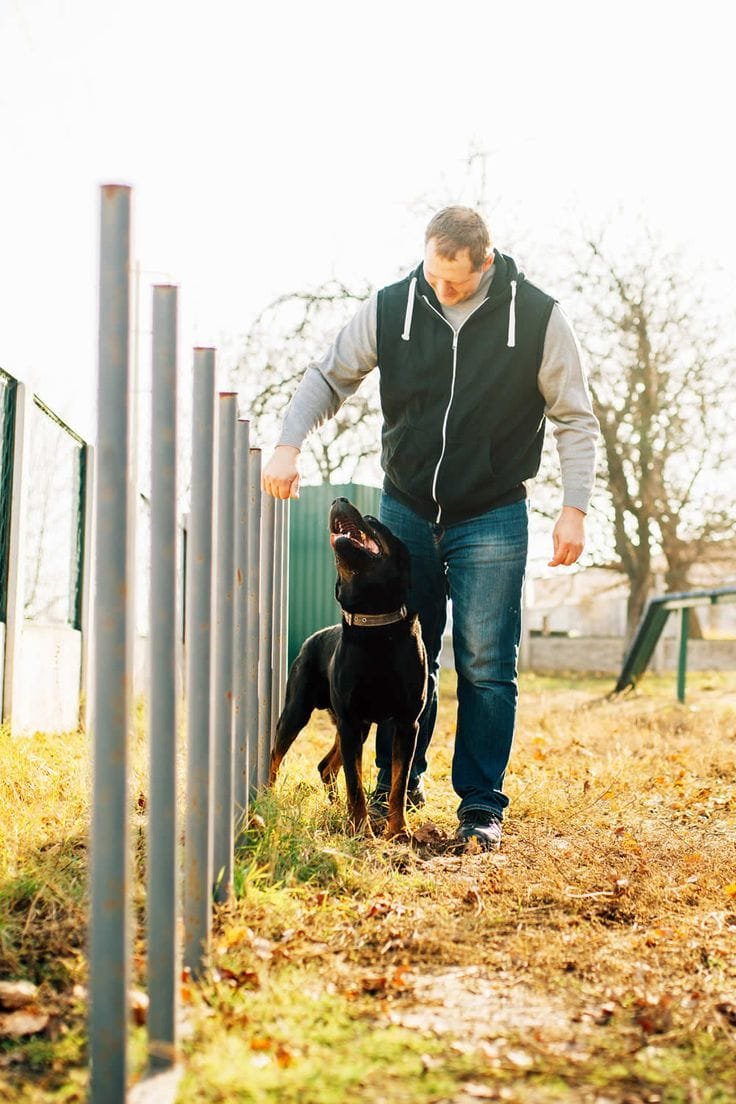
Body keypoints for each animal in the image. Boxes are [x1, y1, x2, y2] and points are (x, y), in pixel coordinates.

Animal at [269, 498, 427, 839]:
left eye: (371, 520)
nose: (338, 500)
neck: (376, 625)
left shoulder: (406, 723)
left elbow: (398, 784)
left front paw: (398, 830)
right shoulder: (350, 720)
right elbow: (355, 783)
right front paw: (360, 828)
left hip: (356, 726)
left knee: (325, 766)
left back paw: (332, 806)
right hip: (298, 712)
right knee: (275, 756)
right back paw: (267, 798)